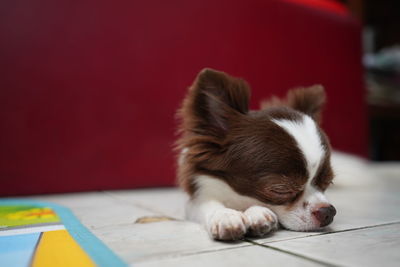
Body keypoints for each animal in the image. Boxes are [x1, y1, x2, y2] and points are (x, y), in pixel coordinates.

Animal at [177, 68, 336, 242]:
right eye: (281, 190)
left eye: (327, 183)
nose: (328, 212)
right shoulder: (195, 200)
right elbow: (208, 204)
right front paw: (225, 216)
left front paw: (258, 213)